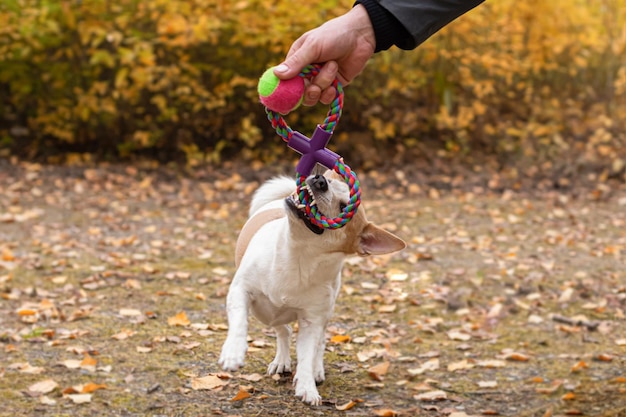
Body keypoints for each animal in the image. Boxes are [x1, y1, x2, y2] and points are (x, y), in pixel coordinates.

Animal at [219, 169, 404, 404]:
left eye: (343, 207)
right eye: (331, 181)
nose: (320, 179)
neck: (298, 256)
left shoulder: (312, 321)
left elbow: (307, 354)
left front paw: (307, 385)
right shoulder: (240, 291)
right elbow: (239, 322)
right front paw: (233, 352)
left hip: (323, 314)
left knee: (319, 342)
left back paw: (316, 369)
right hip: (265, 313)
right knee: (283, 330)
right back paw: (281, 360)